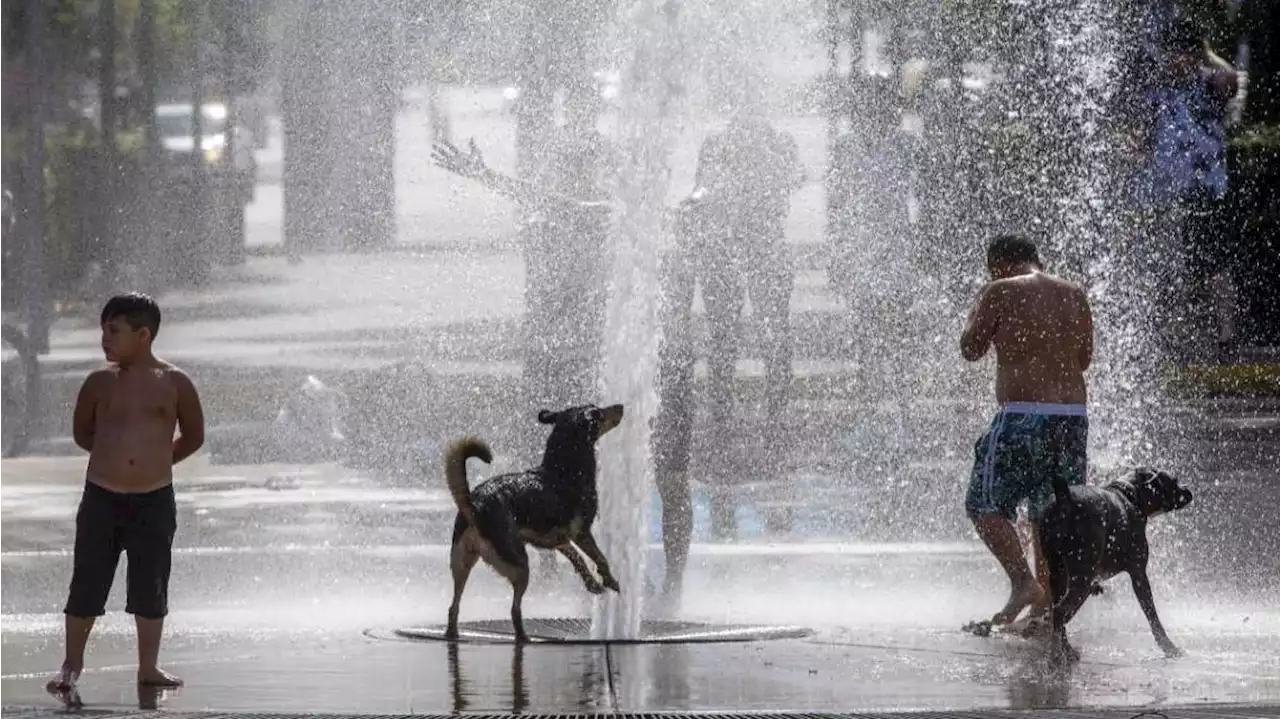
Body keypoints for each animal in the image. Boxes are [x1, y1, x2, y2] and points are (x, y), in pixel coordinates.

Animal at [445, 399, 624, 639]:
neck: (563, 469)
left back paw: (452, 633)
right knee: (514, 609)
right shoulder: (581, 533)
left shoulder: (558, 540)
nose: (621, 406)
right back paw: (523, 636)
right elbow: (600, 558)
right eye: (598, 412)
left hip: (461, 563)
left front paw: (592, 582)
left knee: (453, 606)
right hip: (520, 564)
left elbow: (577, 558)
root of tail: (475, 505)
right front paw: (609, 580)